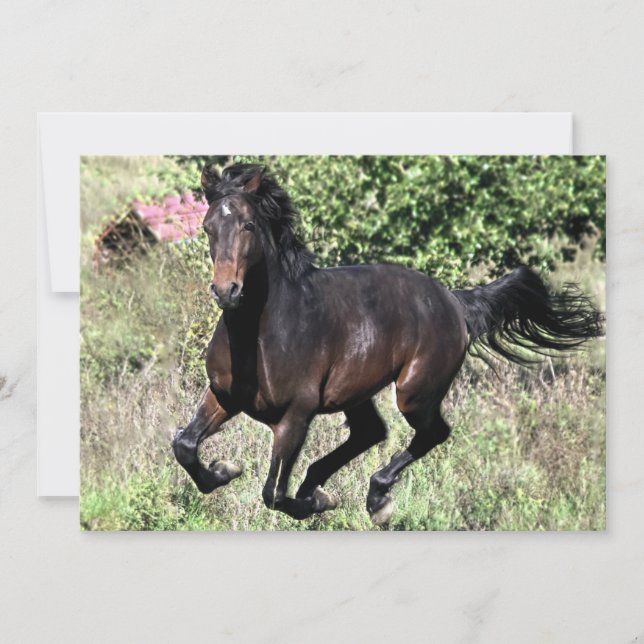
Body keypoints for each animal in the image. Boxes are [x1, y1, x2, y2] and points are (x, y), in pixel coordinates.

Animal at [172, 163, 604, 525]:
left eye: (248, 226)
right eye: (208, 227)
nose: (226, 291)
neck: (264, 333)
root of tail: (454, 301)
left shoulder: (295, 415)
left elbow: (273, 493)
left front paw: (314, 503)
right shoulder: (223, 395)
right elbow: (185, 445)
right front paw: (223, 471)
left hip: (414, 392)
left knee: (430, 434)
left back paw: (375, 499)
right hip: (358, 391)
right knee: (370, 433)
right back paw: (323, 487)